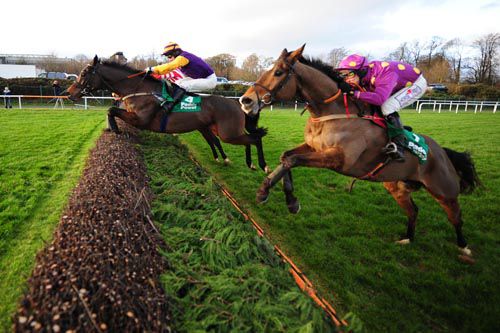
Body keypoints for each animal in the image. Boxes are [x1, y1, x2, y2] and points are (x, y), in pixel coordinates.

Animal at [69, 55, 270, 171]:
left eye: (84, 74)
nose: (69, 93)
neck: (140, 88)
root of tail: (236, 103)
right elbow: (111, 110)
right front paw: (111, 129)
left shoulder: (140, 120)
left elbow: (111, 110)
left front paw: (115, 129)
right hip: (216, 129)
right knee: (238, 140)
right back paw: (243, 162)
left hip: (228, 133)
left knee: (254, 139)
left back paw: (262, 165)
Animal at [240, 44, 482, 256]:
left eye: (278, 72)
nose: (246, 100)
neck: (331, 112)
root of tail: (442, 152)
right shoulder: (312, 146)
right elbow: (286, 157)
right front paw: (290, 200)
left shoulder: (339, 160)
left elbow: (293, 160)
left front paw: (265, 192)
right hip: (396, 186)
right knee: (414, 211)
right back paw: (407, 238)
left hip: (443, 190)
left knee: (456, 217)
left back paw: (464, 247)